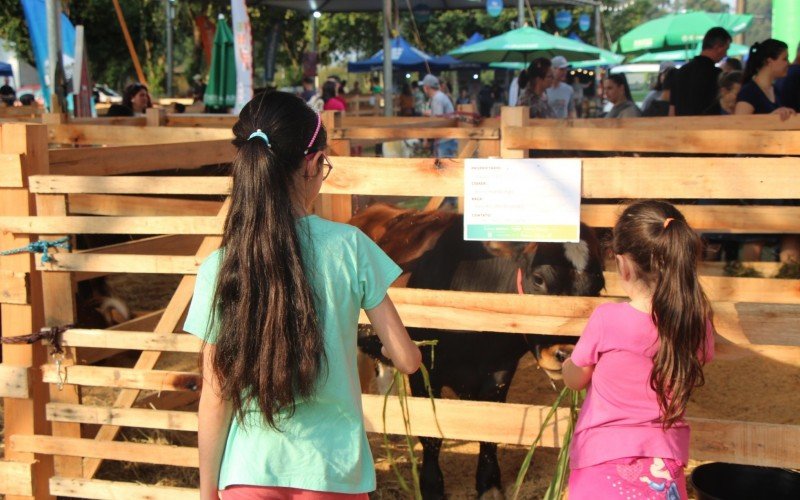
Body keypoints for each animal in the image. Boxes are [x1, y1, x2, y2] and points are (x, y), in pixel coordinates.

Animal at [350, 204, 600, 500]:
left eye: (598, 287)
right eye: (539, 279)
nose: (567, 354)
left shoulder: (500, 371)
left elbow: (489, 428)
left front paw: (489, 484)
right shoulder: (424, 371)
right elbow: (431, 434)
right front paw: (432, 486)